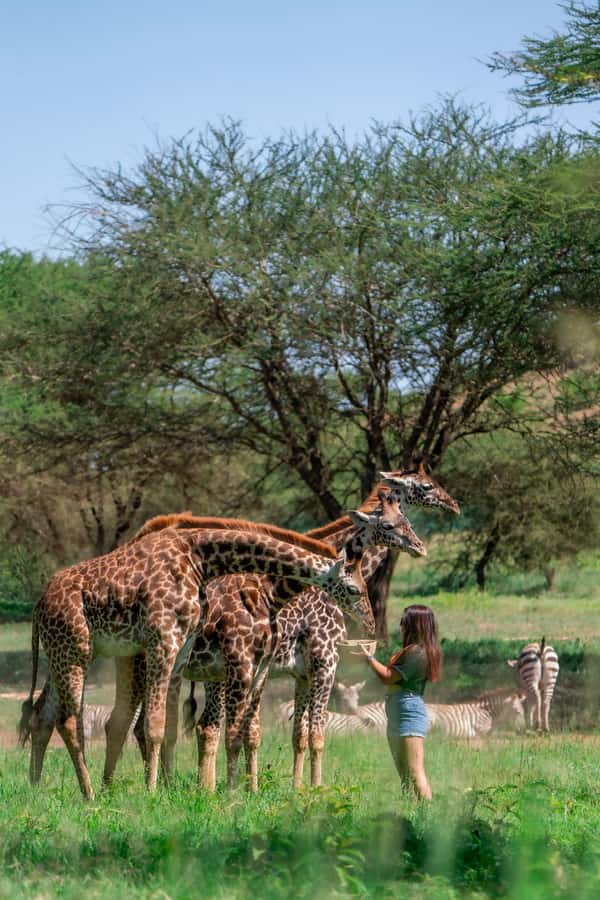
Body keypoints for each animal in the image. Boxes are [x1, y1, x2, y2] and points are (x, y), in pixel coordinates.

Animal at [18, 520, 374, 799]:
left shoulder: (183, 649)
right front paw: (159, 792)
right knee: (72, 721)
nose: (369, 624)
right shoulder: (165, 641)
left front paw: (172, 789)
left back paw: (37, 788)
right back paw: (90, 793)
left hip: (65, 652)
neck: (200, 558)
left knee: (44, 715)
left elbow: (174, 727)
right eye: (355, 590)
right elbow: (159, 726)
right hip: (77, 651)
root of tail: (38, 606)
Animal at [183, 467, 460, 788]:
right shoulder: (325, 661)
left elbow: (298, 735)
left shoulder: (301, 671)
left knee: (203, 726)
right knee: (203, 726)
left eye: (408, 521)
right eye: (426, 486)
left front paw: (296, 788)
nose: (454, 505)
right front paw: (316, 789)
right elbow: (315, 734)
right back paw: (203, 788)